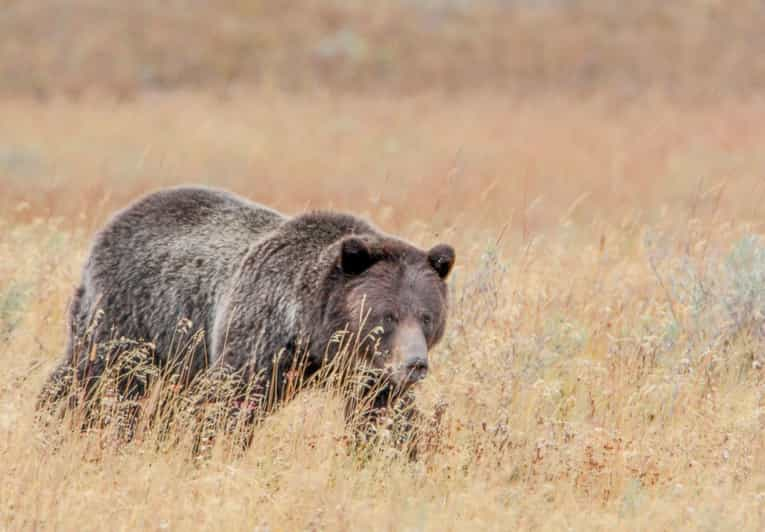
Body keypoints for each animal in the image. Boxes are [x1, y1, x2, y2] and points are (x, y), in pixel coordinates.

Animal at [38, 185, 454, 450]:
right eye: (387, 316)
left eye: (427, 317)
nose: (415, 364)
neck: (312, 332)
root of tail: (117, 219)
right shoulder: (259, 336)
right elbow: (229, 404)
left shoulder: (366, 372)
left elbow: (384, 415)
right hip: (129, 316)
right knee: (92, 374)